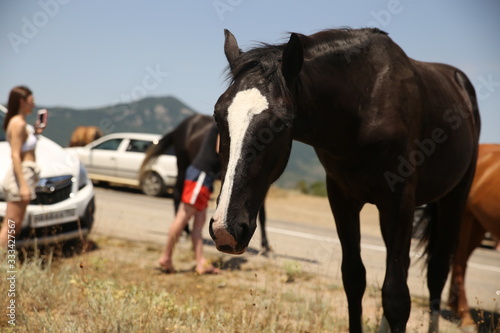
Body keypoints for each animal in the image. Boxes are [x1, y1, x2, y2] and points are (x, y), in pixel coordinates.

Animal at [139, 113, 272, 252]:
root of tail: (180, 126)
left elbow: (262, 214)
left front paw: (266, 246)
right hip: (182, 164)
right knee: (178, 195)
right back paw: (184, 232)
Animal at [208, 29, 480, 332]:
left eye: (280, 123)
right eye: (217, 115)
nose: (226, 229)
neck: (365, 104)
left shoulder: (399, 201)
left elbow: (396, 297)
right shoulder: (342, 199)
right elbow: (354, 279)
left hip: (453, 199)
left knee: (437, 272)